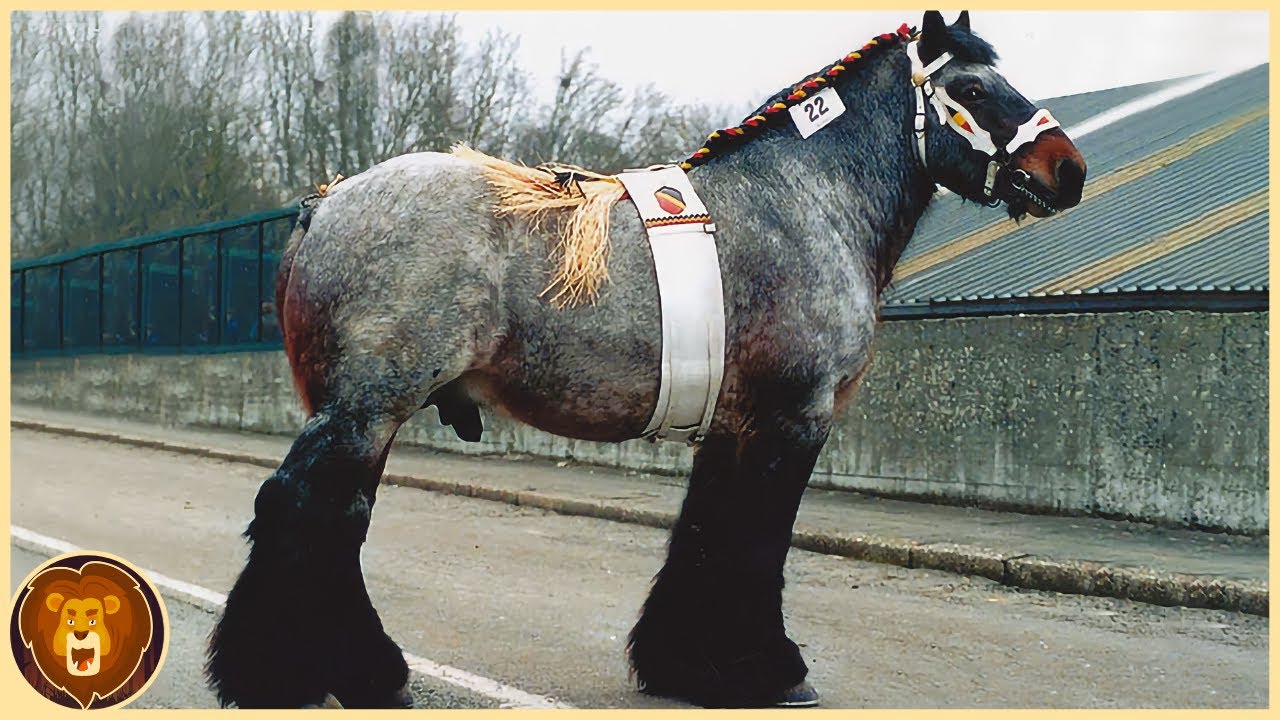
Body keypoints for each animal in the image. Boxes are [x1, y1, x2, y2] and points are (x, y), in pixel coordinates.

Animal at [206, 10, 1085, 709]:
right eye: (973, 89)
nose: (1066, 170)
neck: (804, 200)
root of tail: (326, 204)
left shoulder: (733, 428)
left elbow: (706, 534)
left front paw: (687, 665)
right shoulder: (792, 421)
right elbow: (758, 542)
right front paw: (769, 670)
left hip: (364, 416)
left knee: (334, 519)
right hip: (365, 410)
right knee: (303, 510)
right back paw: (306, 676)